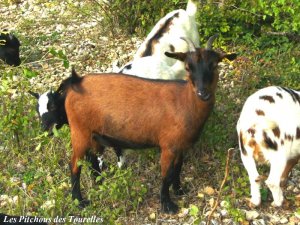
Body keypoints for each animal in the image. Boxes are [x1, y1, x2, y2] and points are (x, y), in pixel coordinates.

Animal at [60, 36, 237, 214]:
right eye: (188, 67)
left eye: (214, 65)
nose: (203, 93)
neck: (183, 101)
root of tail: (76, 82)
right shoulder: (168, 146)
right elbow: (167, 174)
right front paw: (167, 205)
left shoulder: (181, 146)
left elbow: (178, 168)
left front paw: (179, 190)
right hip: (79, 132)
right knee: (74, 164)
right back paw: (79, 200)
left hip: (94, 135)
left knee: (91, 159)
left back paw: (99, 183)